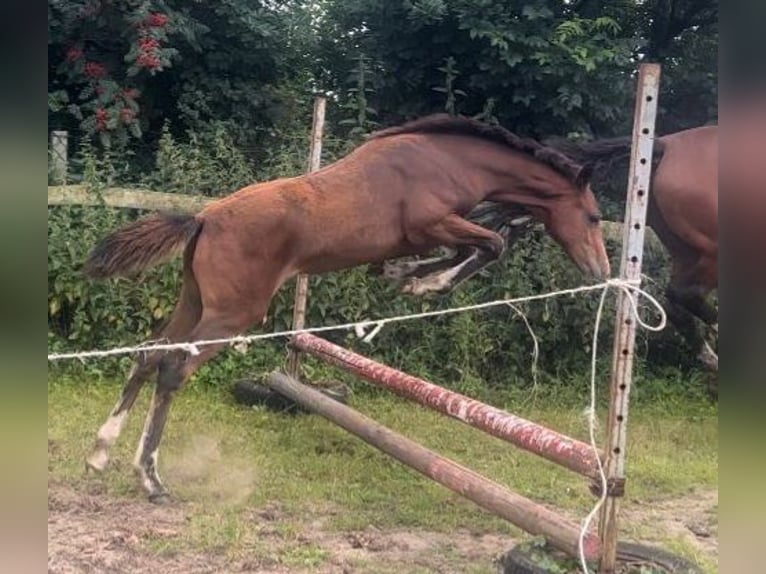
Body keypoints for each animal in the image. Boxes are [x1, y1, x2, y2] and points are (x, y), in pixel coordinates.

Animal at [85, 113, 612, 504]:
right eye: (592, 216)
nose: (600, 270)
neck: (449, 159)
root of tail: (203, 218)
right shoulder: (432, 224)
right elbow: (490, 245)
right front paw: (424, 283)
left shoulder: (429, 234)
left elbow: (465, 248)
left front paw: (405, 277)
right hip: (231, 315)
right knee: (173, 368)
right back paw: (150, 479)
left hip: (193, 303)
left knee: (149, 353)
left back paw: (99, 454)